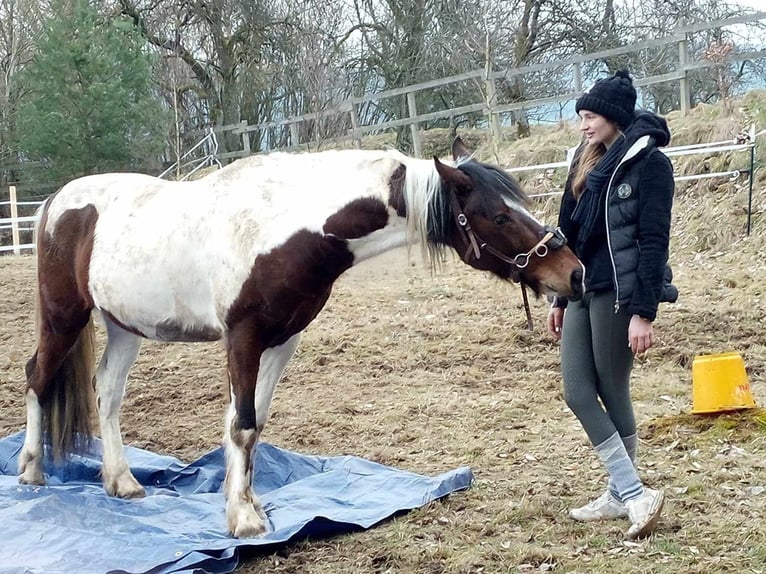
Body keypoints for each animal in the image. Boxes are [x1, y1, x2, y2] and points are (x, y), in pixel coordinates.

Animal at [18, 138, 584, 540]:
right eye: (500, 215)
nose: (572, 273)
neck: (286, 227)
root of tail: (55, 204)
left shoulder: (283, 340)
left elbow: (255, 424)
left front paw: (251, 505)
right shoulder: (243, 338)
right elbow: (241, 425)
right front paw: (244, 520)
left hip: (123, 326)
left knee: (108, 393)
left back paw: (122, 482)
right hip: (64, 318)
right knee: (38, 378)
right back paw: (31, 474)